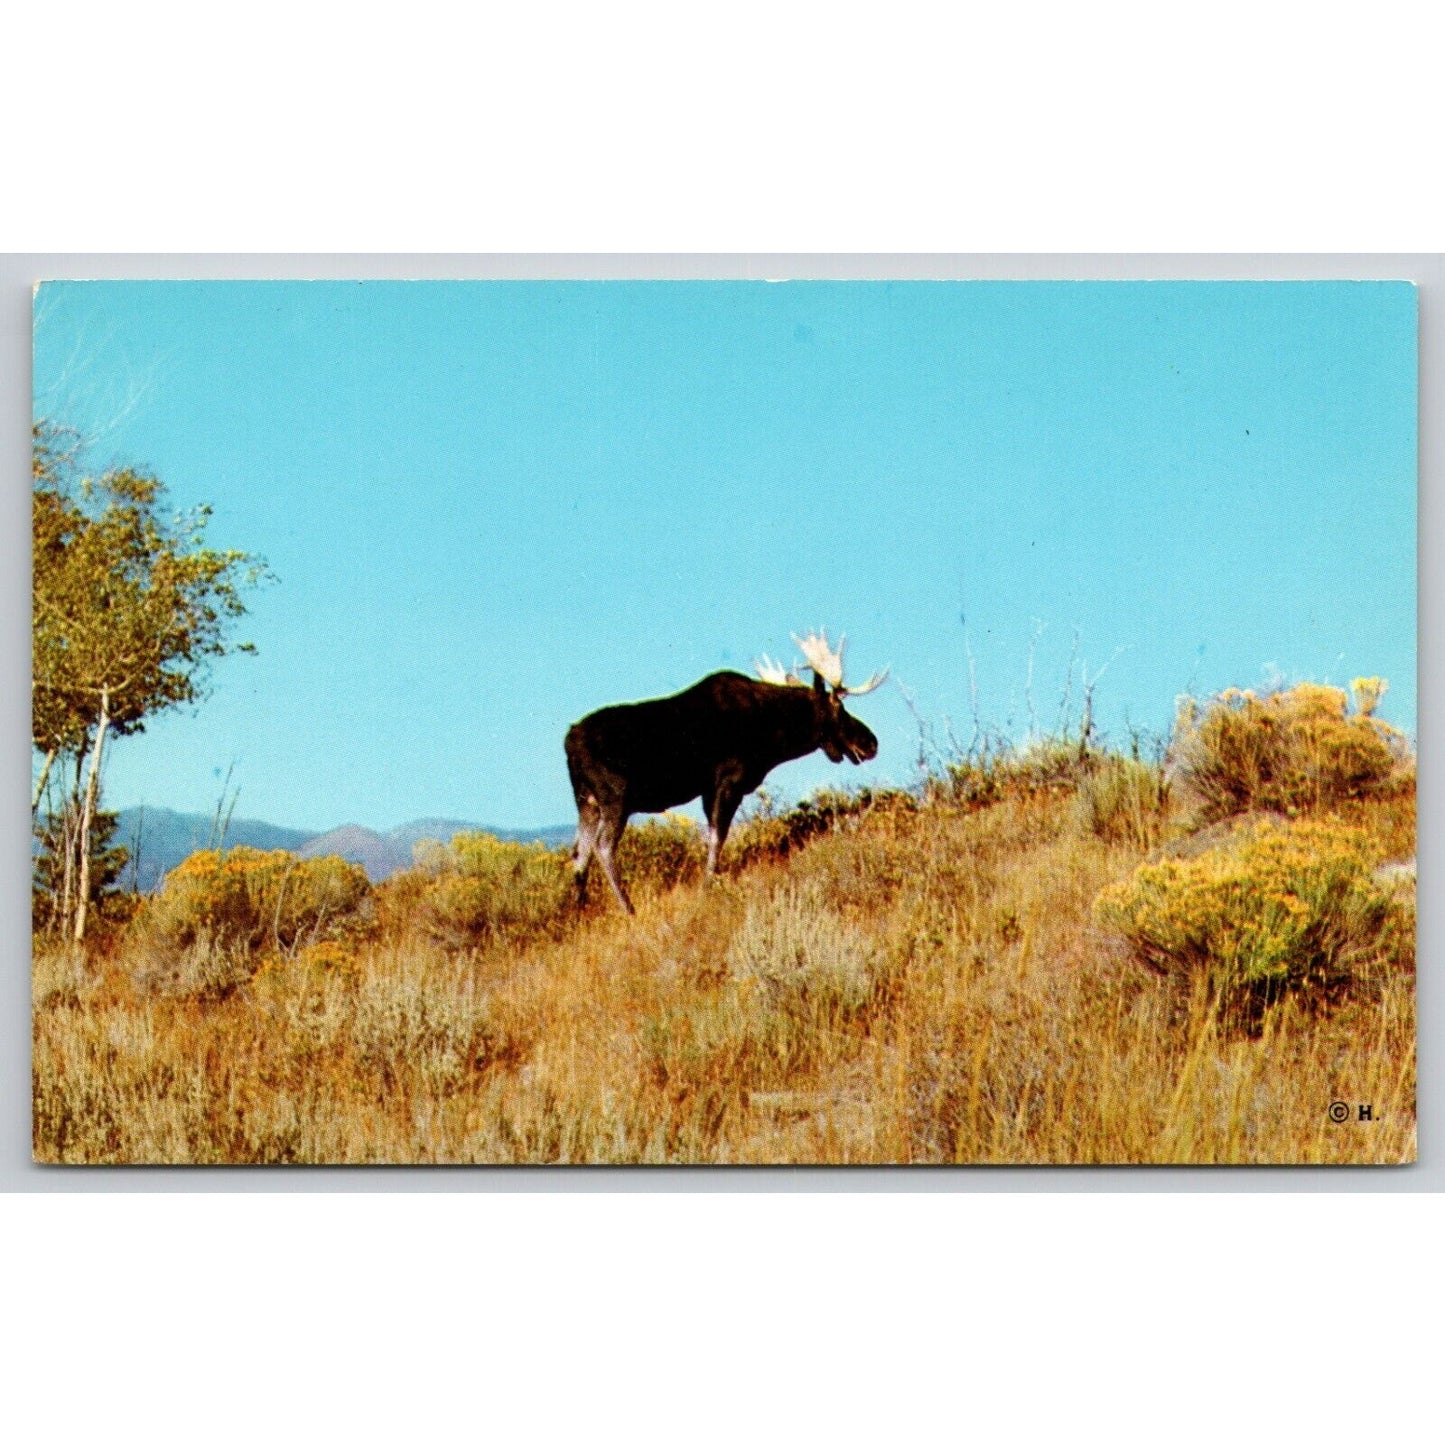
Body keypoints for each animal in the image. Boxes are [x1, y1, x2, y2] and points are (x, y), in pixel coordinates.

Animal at [560, 632, 878, 913]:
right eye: (840, 708)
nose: (871, 742)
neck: (774, 735)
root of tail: (569, 742)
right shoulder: (728, 782)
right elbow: (717, 837)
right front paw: (708, 885)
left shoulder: (710, 789)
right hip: (616, 797)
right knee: (602, 846)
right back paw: (628, 908)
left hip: (586, 801)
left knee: (579, 852)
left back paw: (577, 911)